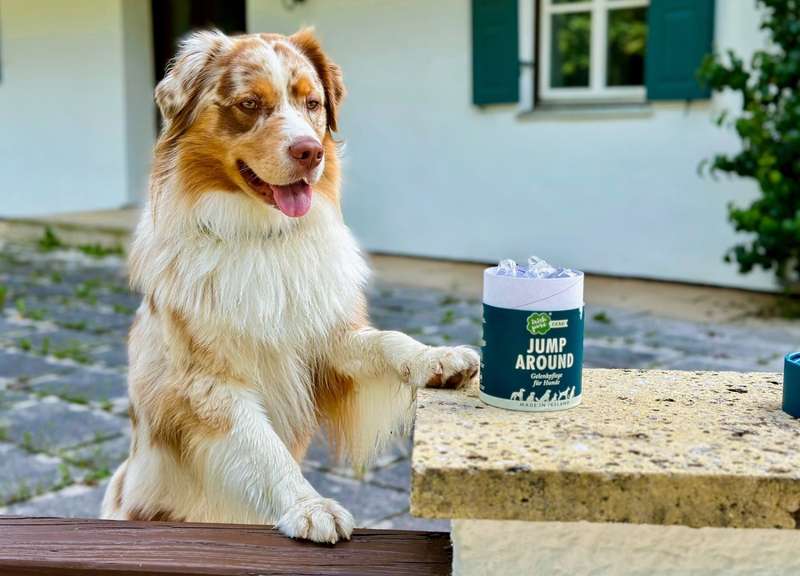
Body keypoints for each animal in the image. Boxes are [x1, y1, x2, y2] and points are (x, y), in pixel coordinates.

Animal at [97, 29, 478, 544]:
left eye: (312, 103)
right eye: (249, 103)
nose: (310, 152)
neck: (261, 239)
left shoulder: (327, 345)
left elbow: (387, 341)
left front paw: (436, 358)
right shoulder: (208, 385)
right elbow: (262, 446)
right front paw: (309, 506)